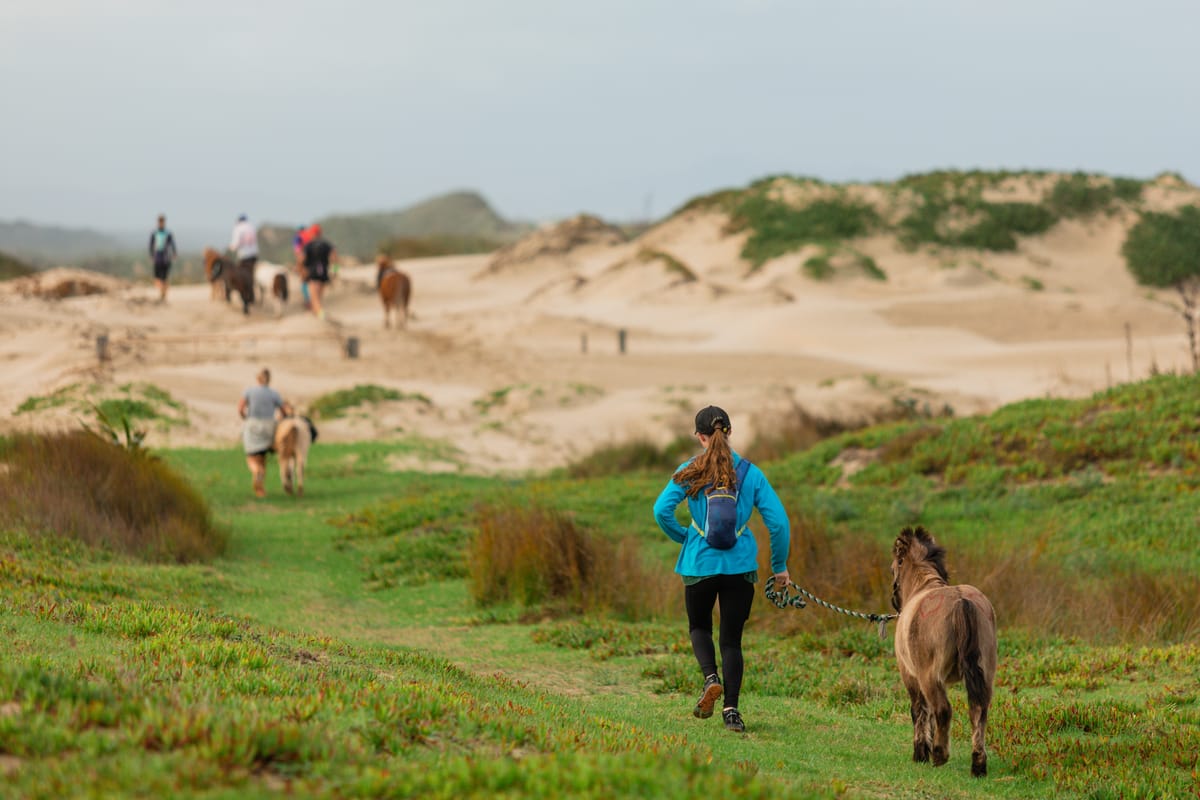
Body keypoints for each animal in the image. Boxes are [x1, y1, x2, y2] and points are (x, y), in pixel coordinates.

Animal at [891, 525, 997, 777]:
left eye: (893, 568)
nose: (894, 602)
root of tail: (961, 601)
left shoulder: (911, 676)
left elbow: (919, 711)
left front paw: (921, 752)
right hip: (985, 673)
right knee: (978, 711)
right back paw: (978, 765)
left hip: (929, 677)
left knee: (942, 709)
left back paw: (939, 754)